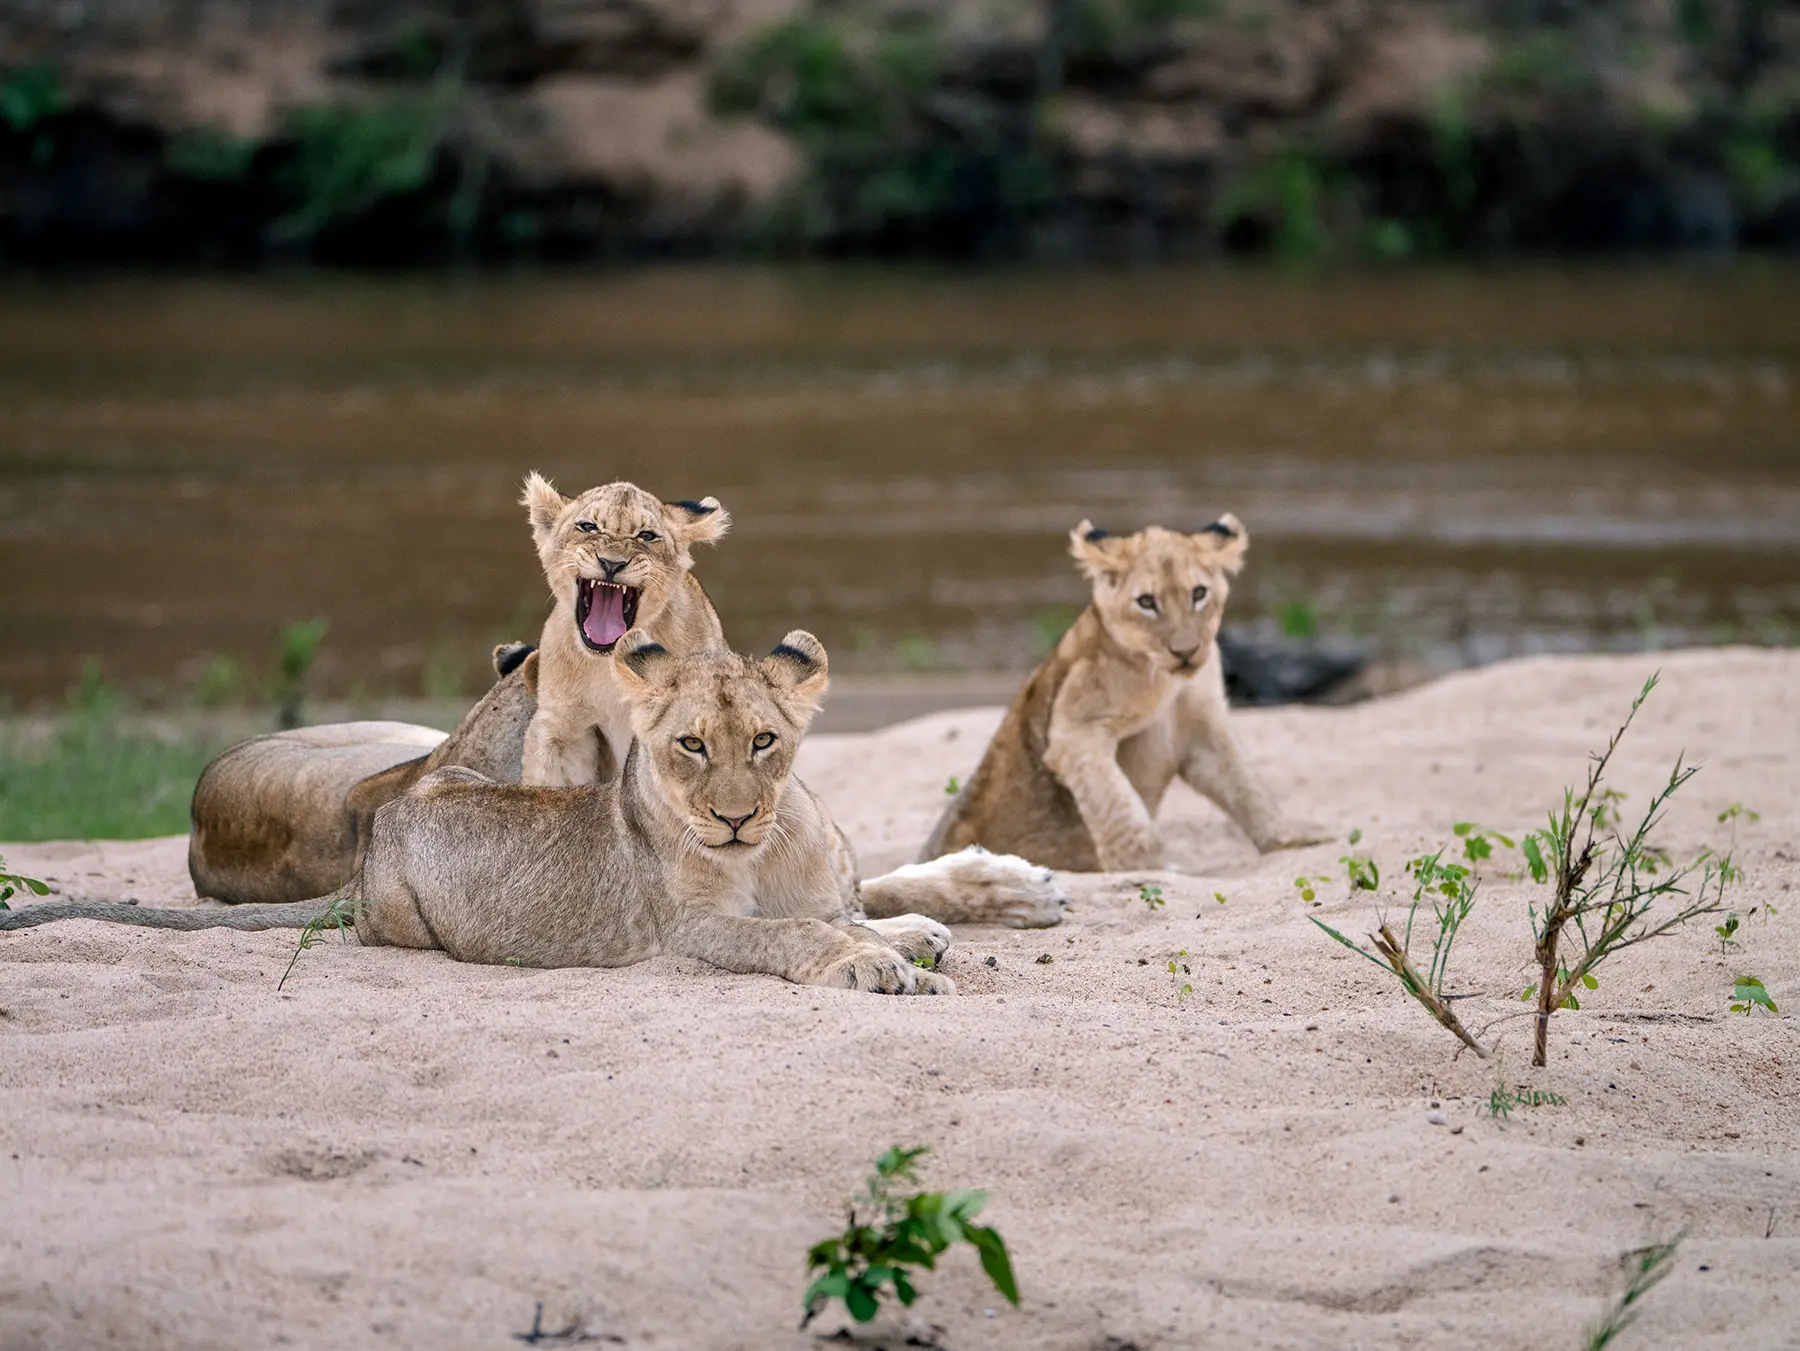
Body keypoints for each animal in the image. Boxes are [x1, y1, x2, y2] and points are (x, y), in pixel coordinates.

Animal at [8, 633, 1067, 988]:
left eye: (764, 741)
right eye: (690, 745)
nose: (731, 817)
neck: (767, 849)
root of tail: (376, 841)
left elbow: (845, 908)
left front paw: (918, 931)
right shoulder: (689, 930)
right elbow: (797, 934)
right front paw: (875, 962)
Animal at [924, 514, 1323, 872]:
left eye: (1198, 594)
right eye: (1146, 602)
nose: (1185, 652)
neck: (1167, 682)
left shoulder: (1200, 729)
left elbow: (1246, 785)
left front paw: (1293, 842)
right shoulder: (1077, 730)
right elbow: (1119, 809)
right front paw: (1151, 868)